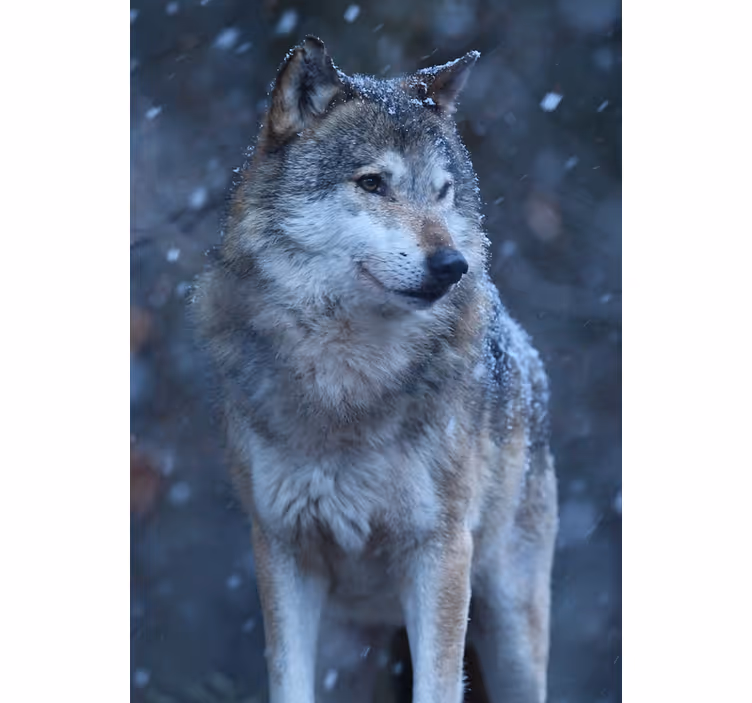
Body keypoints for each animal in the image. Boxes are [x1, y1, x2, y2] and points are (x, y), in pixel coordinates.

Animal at [193, 37, 558, 703]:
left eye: (442, 191)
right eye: (372, 183)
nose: (452, 265)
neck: (349, 378)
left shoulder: (439, 551)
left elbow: (437, 687)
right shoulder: (282, 547)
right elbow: (286, 683)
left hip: (512, 636)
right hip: (349, 654)